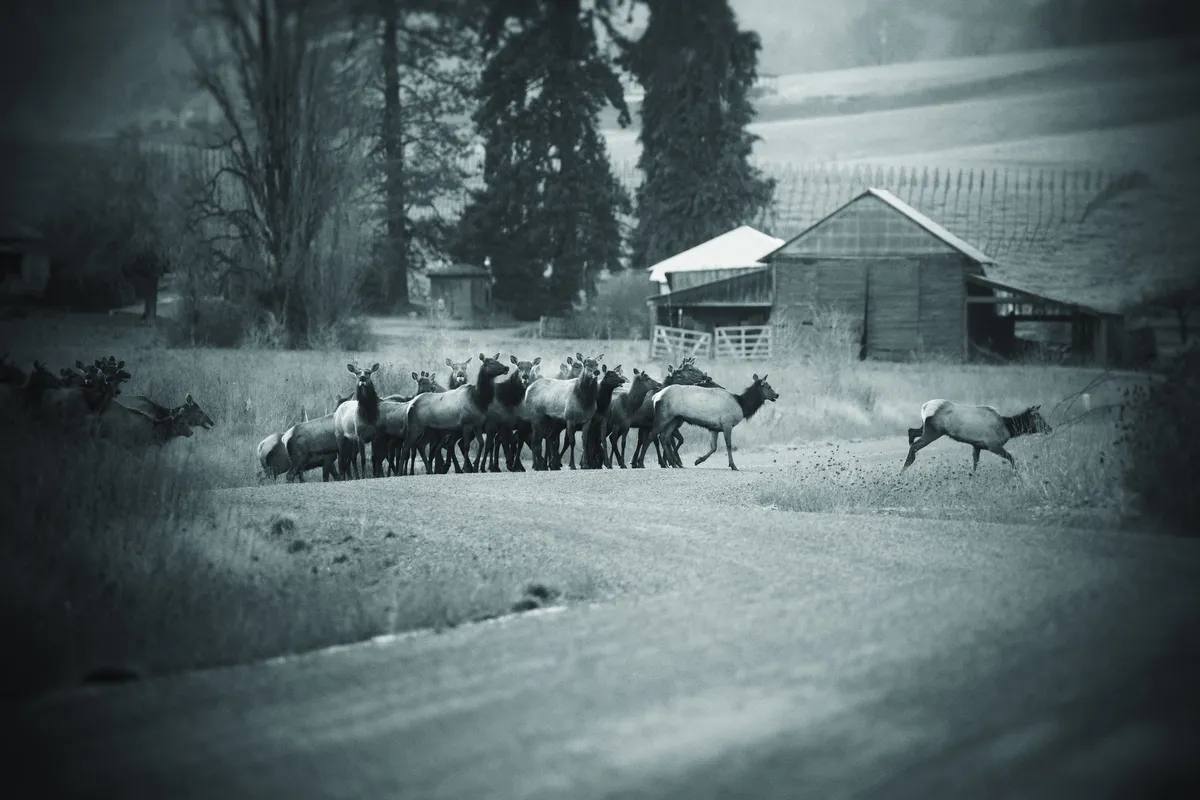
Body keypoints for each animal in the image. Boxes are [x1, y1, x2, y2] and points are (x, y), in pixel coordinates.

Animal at [650, 373, 779, 471]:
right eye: (768, 386)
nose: (777, 395)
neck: (742, 406)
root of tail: (656, 396)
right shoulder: (727, 423)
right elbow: (728, 445)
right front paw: (733, 465)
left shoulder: (714, 428)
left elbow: (713, 448)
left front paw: (698, 460)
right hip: (664, 416)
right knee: (653, 435)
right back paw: (661, 463)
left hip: (675, 419)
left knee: (663, 437)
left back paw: (674, 464)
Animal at [902, 400, 1053, 473]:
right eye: (1038, 418)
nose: (1050, 428)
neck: (1008, 429)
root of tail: (925, 407)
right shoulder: (993, 445)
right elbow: (1012, 458)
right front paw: (1017, 474)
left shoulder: (977, 445)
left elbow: (975, 464)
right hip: (933, 431)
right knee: (914, 445)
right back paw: (903, 469)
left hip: (926, 428)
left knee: (911, 432)